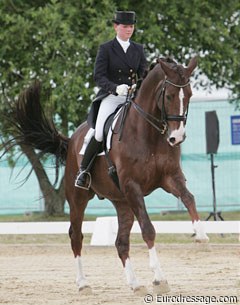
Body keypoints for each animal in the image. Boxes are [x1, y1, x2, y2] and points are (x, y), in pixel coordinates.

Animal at [13, 55, 209, 294]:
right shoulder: (132, 186)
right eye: (170, 95)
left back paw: (135, 284)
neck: (149, 133)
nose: (177, 137)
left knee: (121, 242)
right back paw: (83, 283)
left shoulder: (170, 177)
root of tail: (72, 139)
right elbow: (148, 229)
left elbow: (189, 198)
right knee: (76, 235)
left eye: (189, 95)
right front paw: (160, 279)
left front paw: (201, 235)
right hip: (78, 197)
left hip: (122, 201)